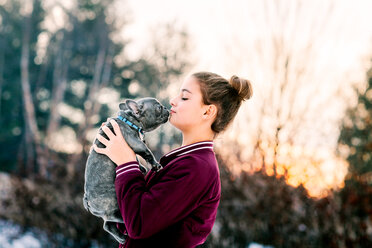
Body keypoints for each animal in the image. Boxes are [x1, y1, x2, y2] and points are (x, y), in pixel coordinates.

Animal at [83, 97, 170, 244]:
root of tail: (87, 201)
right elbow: (147, 152)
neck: (130, 120)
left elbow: (136, 159)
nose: (167, 109)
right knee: (112, 220)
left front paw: (141, 168)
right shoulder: (136, 143)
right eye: (158, 107)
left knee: (108, 225)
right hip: (113, 201)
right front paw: (155, 165)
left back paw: (122, 237)